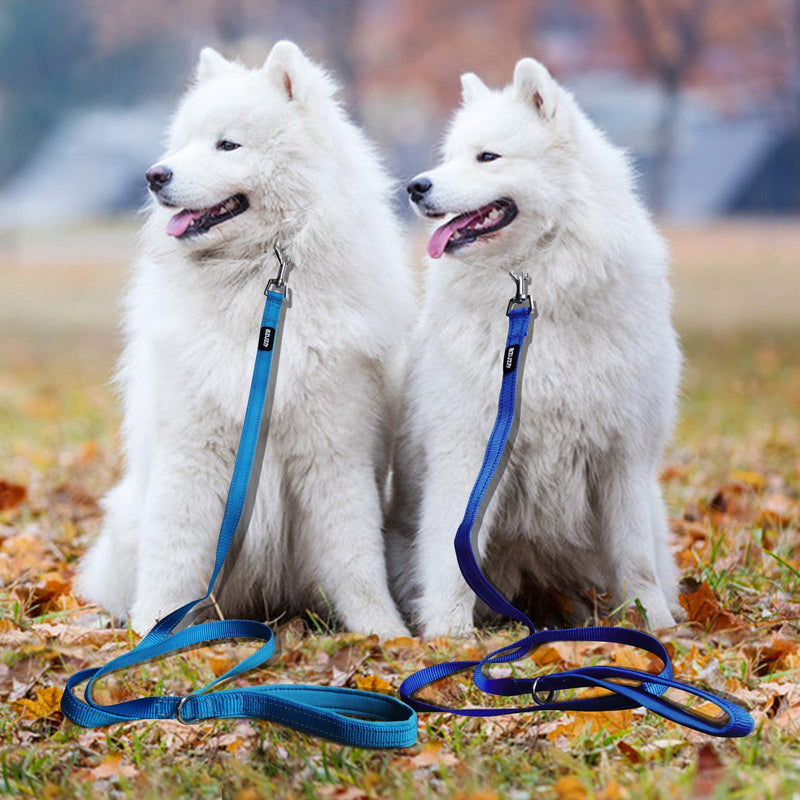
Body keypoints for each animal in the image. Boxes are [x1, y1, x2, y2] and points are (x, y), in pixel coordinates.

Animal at [76, 42, 412, 636]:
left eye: (227, 144)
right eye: (184, 141)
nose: (154, 175)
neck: (259, 283)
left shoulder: (334, 451)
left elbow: (356, 555)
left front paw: (384, 633)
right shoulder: (192, 449)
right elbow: (173, 555)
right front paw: (150, 631)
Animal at [392, 57, 680, 636]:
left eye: (487, 156)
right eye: (448, 155)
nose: (415, 186)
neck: (531, 290)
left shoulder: (623, 455)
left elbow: (635, 558)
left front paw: (653, 628)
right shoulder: (468, 449)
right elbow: (453, 554)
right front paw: (449, 634)